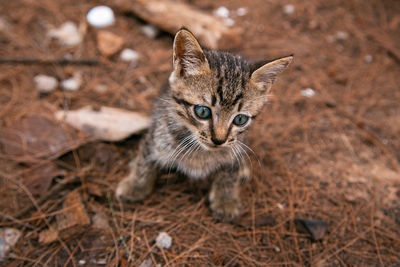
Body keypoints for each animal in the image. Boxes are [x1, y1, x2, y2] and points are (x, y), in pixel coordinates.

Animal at [114, 28, 292, 223]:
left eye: (240, 120)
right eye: (202, 112)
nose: (219, 140)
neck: (200, 151)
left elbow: (230, 168)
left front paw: (226, 199)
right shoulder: (156, 134)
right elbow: (145, 159)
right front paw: (135, 185)